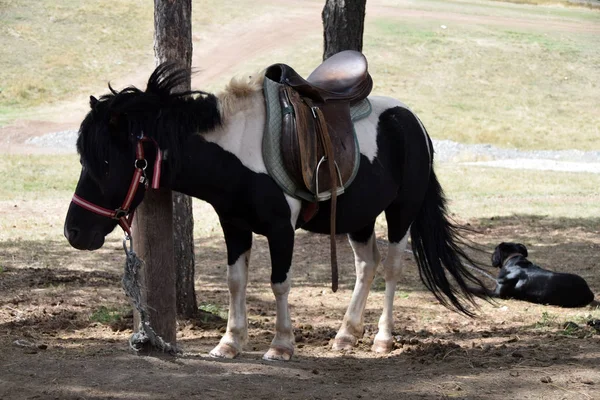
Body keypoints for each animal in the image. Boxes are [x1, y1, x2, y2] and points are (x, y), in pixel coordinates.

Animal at [64, 64, 488, 360]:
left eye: (105, 163)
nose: (74, 232)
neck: (238, 151)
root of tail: (413, 122)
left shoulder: (281, 230)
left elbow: (279, 283)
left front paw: (281, 345)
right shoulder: (234, 226)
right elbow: (236, 281)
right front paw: (229, 343)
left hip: (402, 211)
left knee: (394, 267)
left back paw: (382, 339)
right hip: (359, 218)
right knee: (367, 265)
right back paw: (346, 334)